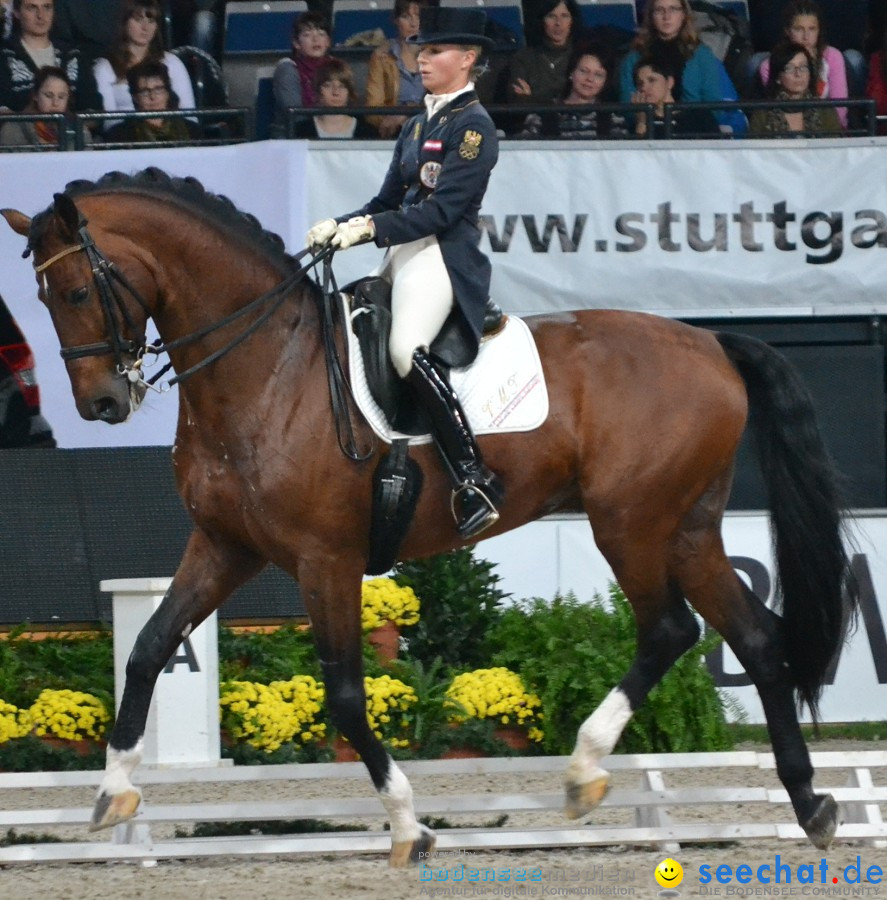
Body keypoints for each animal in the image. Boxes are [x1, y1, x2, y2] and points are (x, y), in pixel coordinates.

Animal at [1, 169, 860, 864]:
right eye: (41, 299)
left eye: (76, 293)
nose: (103, 405)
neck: (266, 367)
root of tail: (709, 341)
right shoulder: (225, 546)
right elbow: (149, 647)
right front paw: (112, 794)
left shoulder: (325, 558)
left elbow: (346, 695)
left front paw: (409, 826)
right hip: (684, 526)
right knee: (755, 638)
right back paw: (810, 806)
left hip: (629, 521)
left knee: (671, 630)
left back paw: (585, 771)